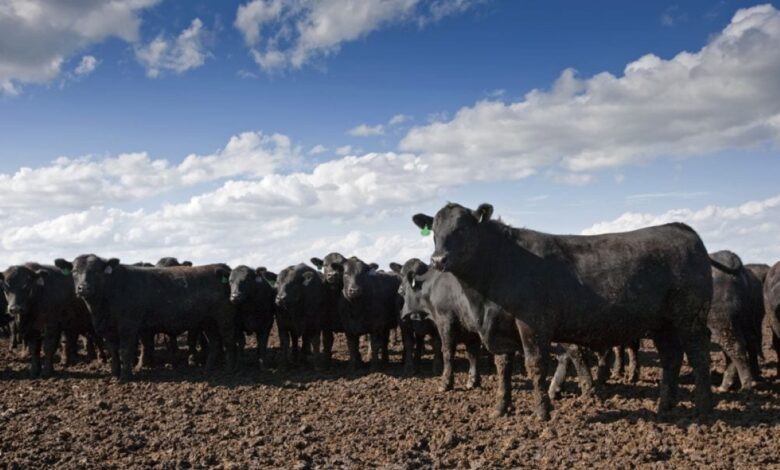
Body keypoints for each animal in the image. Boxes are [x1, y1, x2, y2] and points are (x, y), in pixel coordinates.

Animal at [54, 255, 236, 380]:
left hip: (224, 319)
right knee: (215, 343)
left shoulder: (128, 325)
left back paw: (230, 369)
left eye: (97, 271)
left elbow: (125, 350)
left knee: (229, 342)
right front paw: (114, 374)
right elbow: (113, 351)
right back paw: (208, 369)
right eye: (74, 271)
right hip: (208, 322)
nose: (83, 288)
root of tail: (222, 267)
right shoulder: (108, 329)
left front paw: (126, 376)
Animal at [413, 202, 714, 420]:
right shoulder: (499, 330)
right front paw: (500, 408)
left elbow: (535, 365)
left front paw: (542, 412)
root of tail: (680, 227)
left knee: (699, 358)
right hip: (663, 325)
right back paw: (664, 406)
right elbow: (503, 367)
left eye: (462, 229)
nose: (438, 259)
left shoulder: (533, 324)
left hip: (690, 320)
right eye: (435, 232)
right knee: (672, 358)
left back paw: (702, 408)